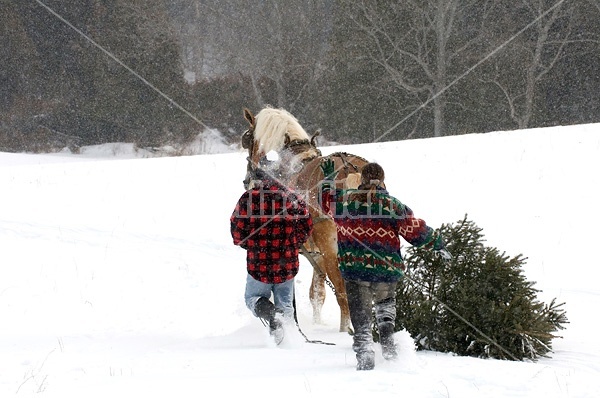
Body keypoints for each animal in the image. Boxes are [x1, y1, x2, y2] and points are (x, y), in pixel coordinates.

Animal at [241, 105, 368, 332]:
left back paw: (346, 330)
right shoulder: (316, 254)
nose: (248, 180)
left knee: (343, 295)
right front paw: (318, 323)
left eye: (247, 140)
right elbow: (317, 293)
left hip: (332, 250)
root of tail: (349, 171)